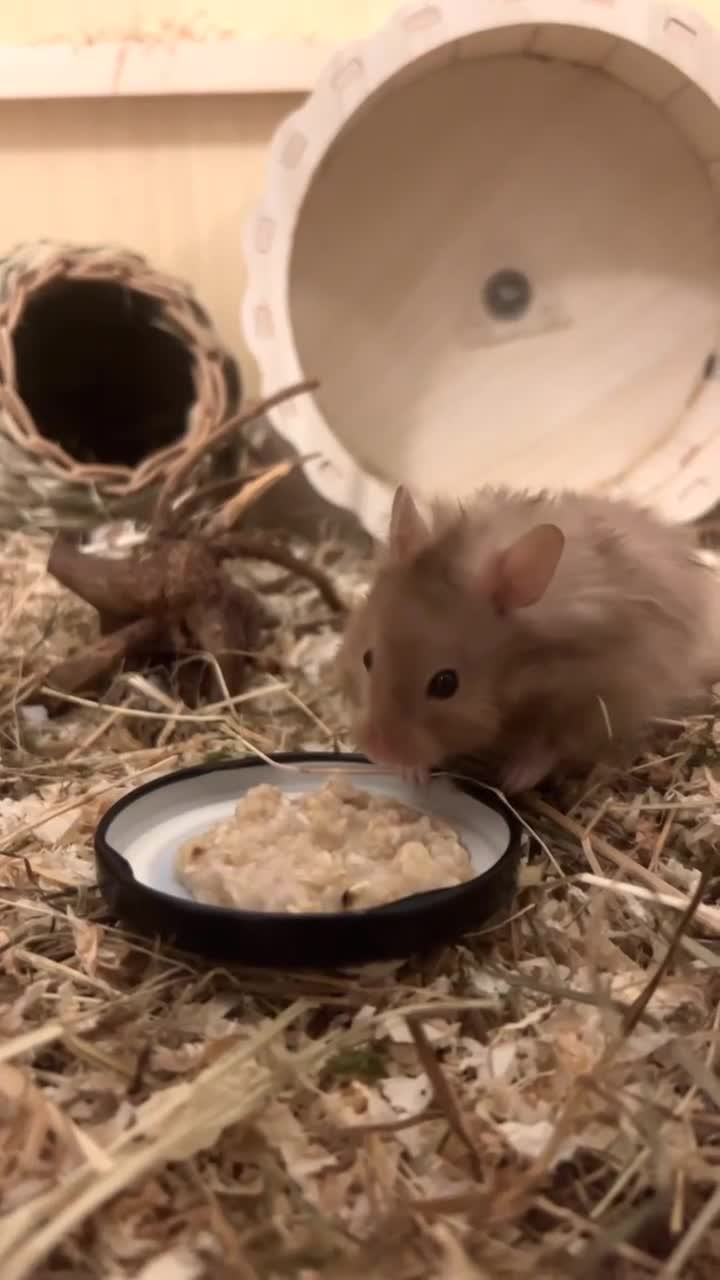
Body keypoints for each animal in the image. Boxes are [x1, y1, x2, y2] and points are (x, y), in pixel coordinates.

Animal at [337, 485, 720, 793]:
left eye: (446, 684)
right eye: (367, 658)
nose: (379, 752)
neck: (521, 667)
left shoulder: (595, 700)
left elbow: (550, 746)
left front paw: (512, 780)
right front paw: (412, 775)